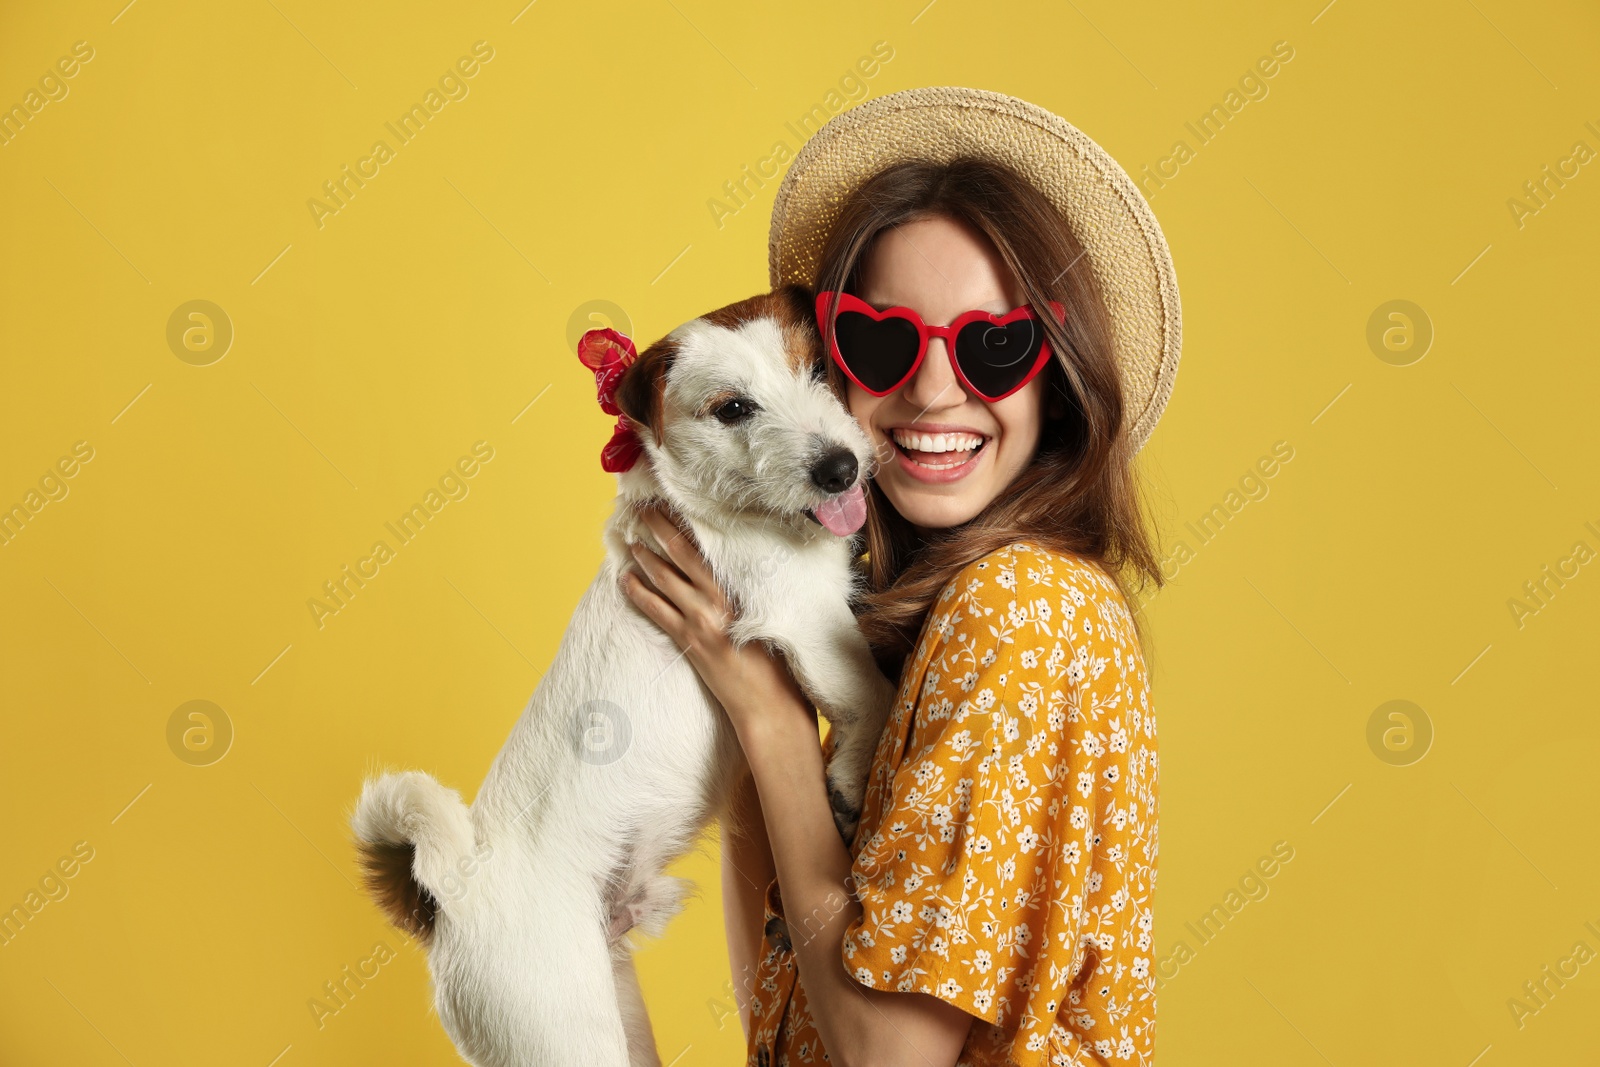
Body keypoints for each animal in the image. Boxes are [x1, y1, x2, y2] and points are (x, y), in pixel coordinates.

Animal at [353, 287, 902, 1062]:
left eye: (822, 367)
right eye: (734, 409)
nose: (840, 468)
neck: (720, 505)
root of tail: (451, 899)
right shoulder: (803, 612)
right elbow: (869, 690)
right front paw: (854, 775)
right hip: (563, 1035)